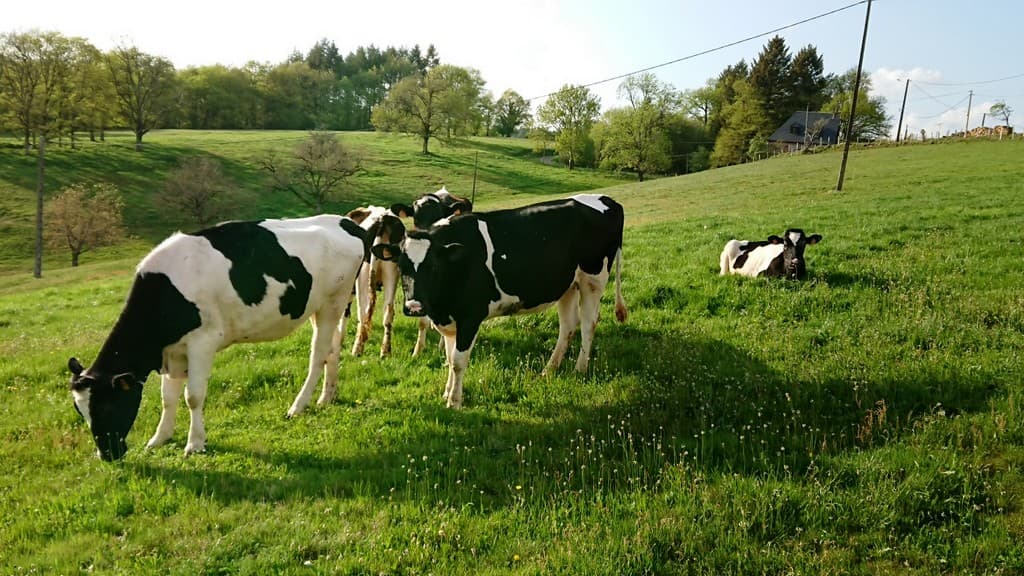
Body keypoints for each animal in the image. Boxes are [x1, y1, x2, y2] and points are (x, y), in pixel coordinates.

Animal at [67, 215, 366, 461]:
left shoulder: (203, 342)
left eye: (107, 407)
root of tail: (344, 221)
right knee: (333, 348)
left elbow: (193, 396)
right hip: (324, 307)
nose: (107, 455)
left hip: (333, 302)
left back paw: (298, 406)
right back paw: (327, 396)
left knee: (318, 354)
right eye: (80, 412)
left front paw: (194, 444)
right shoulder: (172, 351)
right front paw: (159, 438)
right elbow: (168, 397)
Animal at [372, 193, 628, 408]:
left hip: (593, 279)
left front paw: (454, 401)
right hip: (567, 285)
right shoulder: (449, 320)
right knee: (568, 325)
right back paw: (549, 369)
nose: (414, 307)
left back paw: (579, 369)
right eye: (402, 266)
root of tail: (607, 200)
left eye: (433, 266)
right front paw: (447, 392)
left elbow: (458, 361)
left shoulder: (470, 316)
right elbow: (449, 356)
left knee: (588, 323)